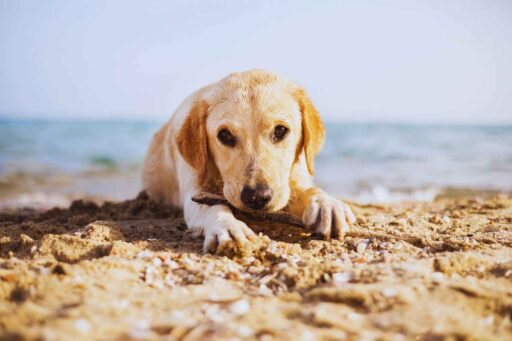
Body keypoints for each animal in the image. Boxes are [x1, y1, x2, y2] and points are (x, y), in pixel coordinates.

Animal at [142, 68, 354, 252]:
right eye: (225, 135)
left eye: (280, 130)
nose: (256, 197)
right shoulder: (194, 190)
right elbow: (213, 206)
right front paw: (227, 226)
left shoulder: (296, 176)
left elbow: (309, 189)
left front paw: (326, 204)